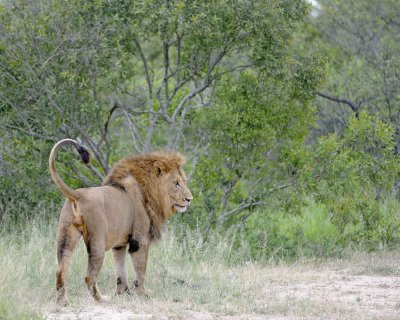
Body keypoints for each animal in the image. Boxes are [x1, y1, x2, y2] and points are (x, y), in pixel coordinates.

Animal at [49, 139, 193, 306]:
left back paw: (62, 301)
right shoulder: (140, 239)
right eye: (176, 183)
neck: (149, 191)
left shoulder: (120, 244)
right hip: (97, 241)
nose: (190, 199)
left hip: (65, 237)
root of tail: (78, 195)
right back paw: (102, 299)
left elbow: (120, 270)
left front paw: (122, 293)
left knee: (60, 271)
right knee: (89, 276)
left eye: (184, 182)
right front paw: (143, 293)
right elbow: (141, 269)